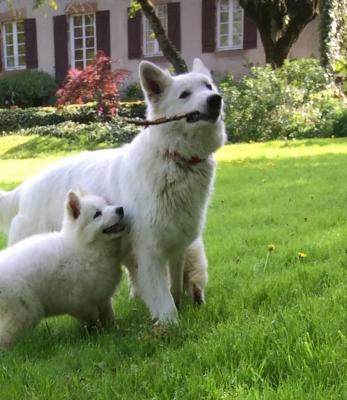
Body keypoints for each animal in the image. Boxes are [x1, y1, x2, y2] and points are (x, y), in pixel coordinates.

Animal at [0, 57, 227, 324]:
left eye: (208, 86)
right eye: (185, 94)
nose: (216, 99)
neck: (173, 157)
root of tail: (26, 187)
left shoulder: (176, 248)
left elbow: (175, 289)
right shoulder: (149, 253)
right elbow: (165, 301)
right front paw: (169, 325)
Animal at [0, 190, 127, 346]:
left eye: (107, 204)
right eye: (97, 214)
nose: (120, 209)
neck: (85, 247)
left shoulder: (101, 296)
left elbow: (108, 313)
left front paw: (113, 329)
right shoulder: (81, 302)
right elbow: (92, 318)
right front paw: (97, 334)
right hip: (22, 313)